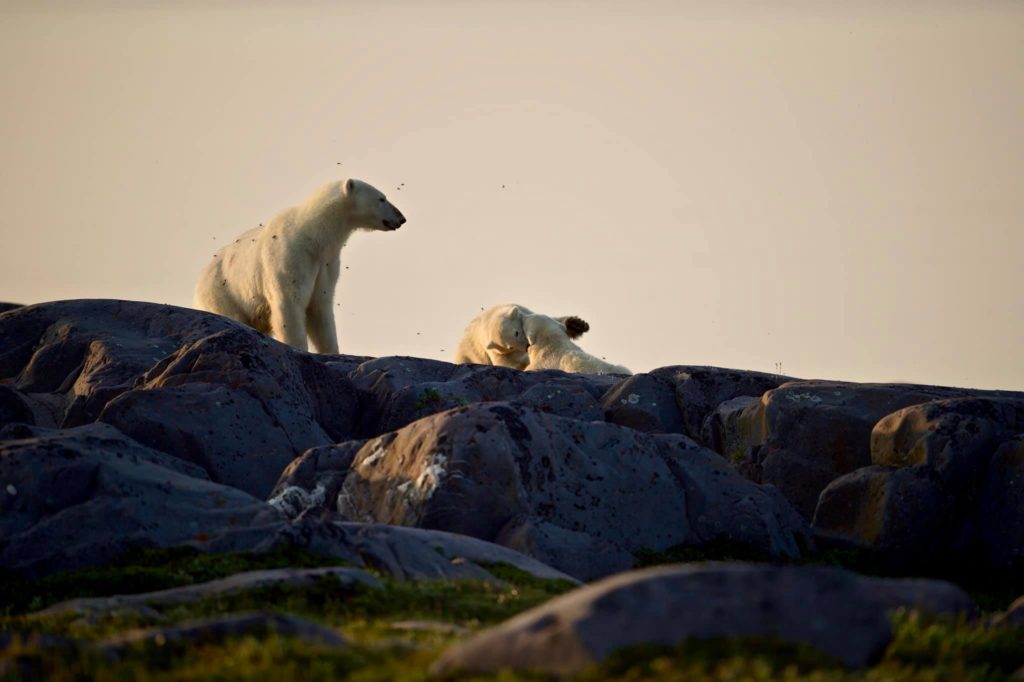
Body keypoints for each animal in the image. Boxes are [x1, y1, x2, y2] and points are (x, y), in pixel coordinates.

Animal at [194, 178, 406, 353]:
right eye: (382, 198)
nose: (401, 218)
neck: (314, 235)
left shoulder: (325, 264)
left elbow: (321, 308)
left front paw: (332, 351)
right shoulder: (290, 257)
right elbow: (289, 304)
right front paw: (298, 347)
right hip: (223, 292)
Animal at [454, 303, 590, 370]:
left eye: (516, 332)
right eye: (509, 346)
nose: (525, 346)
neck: (491, 315)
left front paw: (578, 324)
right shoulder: (495, 351)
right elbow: (507, 363)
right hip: (467, 356)